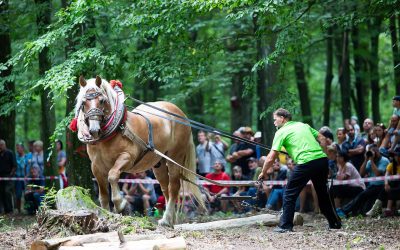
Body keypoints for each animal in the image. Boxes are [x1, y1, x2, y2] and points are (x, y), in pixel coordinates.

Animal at [73, 74, 205, 227]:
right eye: (83, 102)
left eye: (102, 101)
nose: (94, 130)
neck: (113, 132)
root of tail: (180, 113)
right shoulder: (96, 167)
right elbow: (103, 195)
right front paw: (105, 215)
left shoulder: (127, 157)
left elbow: (112, 175)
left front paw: (120, 204)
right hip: (159, 164)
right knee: (165, 189)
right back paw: (169, 219)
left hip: (175, 158)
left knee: (173, 188)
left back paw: (166, 219)